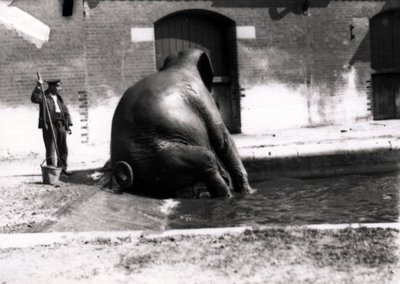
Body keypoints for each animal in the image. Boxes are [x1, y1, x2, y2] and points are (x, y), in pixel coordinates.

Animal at [108, 48, 253, 197]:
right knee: (207, 158)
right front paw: (248, 191)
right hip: (164, 157)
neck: (179, 63)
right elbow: (223, 140)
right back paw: (226, 195)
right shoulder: (203, 98)